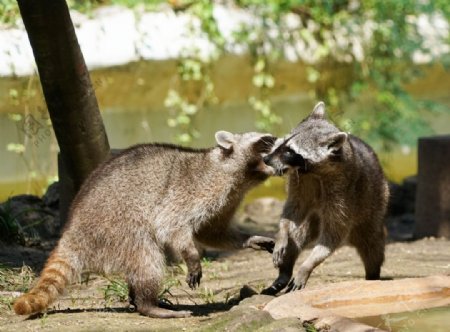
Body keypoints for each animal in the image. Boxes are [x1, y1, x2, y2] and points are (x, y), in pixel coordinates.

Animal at [14, 131, 276, 318]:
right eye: (267, 139)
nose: (281, 138)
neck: (238, 174)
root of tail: (72, 231)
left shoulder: (227, 200)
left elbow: (212, 232)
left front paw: (249, 239)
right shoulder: (195, 190)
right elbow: (171, 225)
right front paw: (191, 255)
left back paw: (139, 299)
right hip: (115, 227)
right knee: (147, 258)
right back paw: (147, 304)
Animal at [262, 102, 388, 294]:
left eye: (290, 152)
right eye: (283, 142)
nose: (266, 159)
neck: (312, 171)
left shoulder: (343, 194)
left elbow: (333, 235)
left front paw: (307, 265)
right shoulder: (300, 182)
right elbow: (292, 210)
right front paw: (281, 232)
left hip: (374, 203)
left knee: (372, 245)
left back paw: (373, 274)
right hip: (314, 218)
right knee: (298, 232)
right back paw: (285, 271)